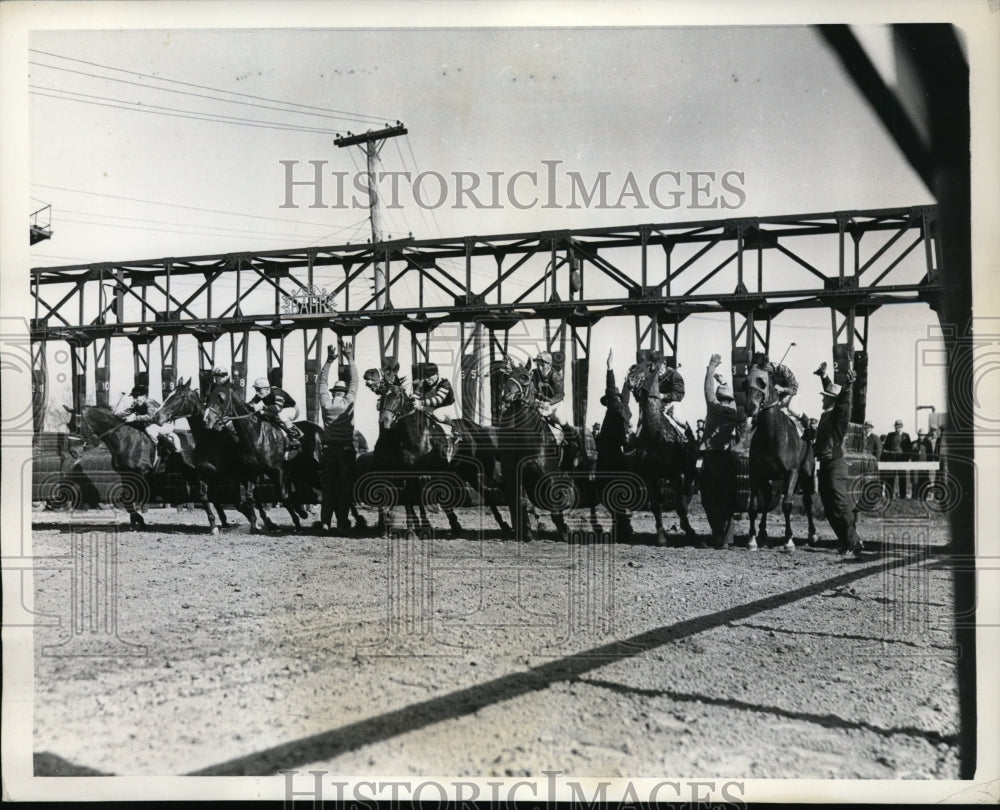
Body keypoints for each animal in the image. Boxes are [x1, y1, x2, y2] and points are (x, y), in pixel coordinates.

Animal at [65, 402, 198, 528]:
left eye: (77, 427)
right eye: (68, 425)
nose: (73, 452)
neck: (125, 439)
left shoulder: (141, 472)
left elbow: (133, 496)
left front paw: (139, 519)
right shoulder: (125, 474)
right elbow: (126, 499)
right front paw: (136, 521)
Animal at [200, 384, 312, 532]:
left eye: (221, 399)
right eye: (208, 398)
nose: (207, 420)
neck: (257, 435)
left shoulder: (278, 470)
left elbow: (283, 496)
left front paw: (297, 522)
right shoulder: (252, 472)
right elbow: (249, 497)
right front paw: (254, 525)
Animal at [494, 362, 572, 540]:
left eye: (524, 377)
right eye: (507, 376)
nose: (506, 395)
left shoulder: (549, 473)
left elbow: (554, 500)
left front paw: (564, 531)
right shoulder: (514, 474)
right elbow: (519, 501)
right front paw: (527, 532)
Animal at [748, 364, 816, 548]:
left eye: (762, 383)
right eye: (745, 383)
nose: (751, 408)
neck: (771, 436)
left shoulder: (792, 472)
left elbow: (786, 505)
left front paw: (789, 540)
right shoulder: (756, 473)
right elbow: (755, 506)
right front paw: (752, 539)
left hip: (806, 472)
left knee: (808, 501)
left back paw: (812, 534)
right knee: (768, 497)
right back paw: (762, 531)